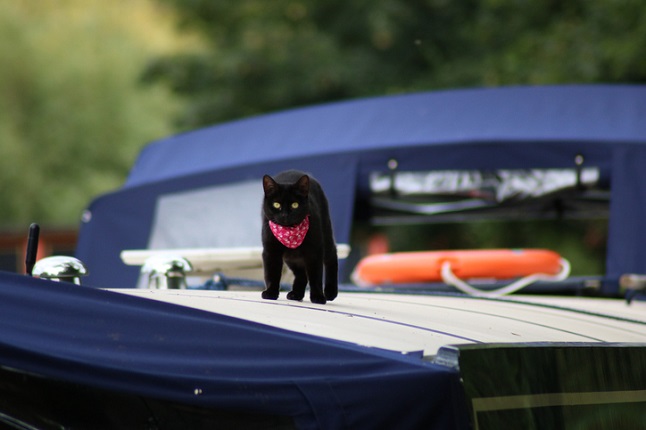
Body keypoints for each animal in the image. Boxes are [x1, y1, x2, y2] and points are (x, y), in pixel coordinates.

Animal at [260, 170, 340, 304]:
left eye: (295, 205)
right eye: (276, 204)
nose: (285, 215)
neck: (290, 232)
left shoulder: (315, 251)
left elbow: (315, 276)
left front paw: (318, 296)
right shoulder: (270, 251)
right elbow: (272, 273)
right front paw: (270, 292)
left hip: (326, 235)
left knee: (332, 257)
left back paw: (330, 292)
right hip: (292, 258)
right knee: (301, 274)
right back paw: (296, 294)